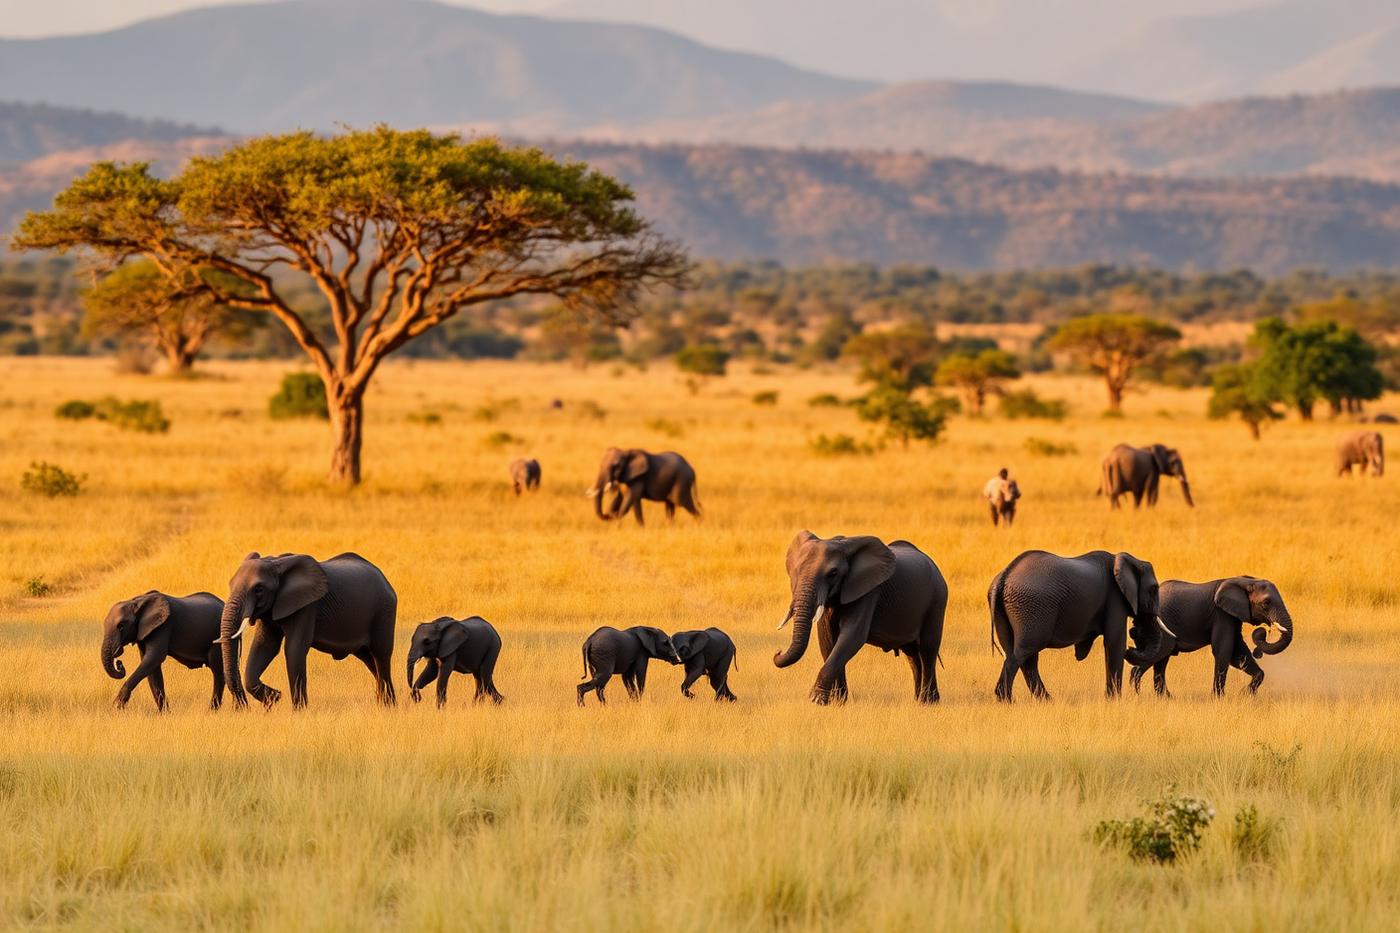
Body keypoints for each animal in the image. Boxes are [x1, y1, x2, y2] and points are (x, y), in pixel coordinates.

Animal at [218, 552, 397, 709]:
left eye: (259, 589)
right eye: (230, 585)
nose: (242, 706)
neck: (275, 562)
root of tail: (384, 578)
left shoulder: (307, 607)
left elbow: (294, 649)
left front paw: (298, 710)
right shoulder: (271, 610)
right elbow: (264, 647)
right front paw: (274, 697)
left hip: (384, 611)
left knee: (380, 655)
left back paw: (388, 707)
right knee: (369, 659)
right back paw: (384, 703)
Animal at [774, 531, 948, 705]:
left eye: (833, 573)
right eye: (795, 571)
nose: (778, 651)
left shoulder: (868, 591)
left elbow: (852, 636)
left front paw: (816, 700)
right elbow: (827, 639)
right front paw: (838, 702)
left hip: (937, 600)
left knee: (927, 649)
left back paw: (927, 702)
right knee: (912, 655)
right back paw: (921, 700)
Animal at [988, 549, 1165, 701]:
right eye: (1154, 589)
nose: (1134, 632)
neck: (1129, 560)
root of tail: (1004, 576)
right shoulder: (1115, 599)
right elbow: (1115, 643)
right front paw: (1114, 700)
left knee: (1019, 654)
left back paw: (1045, 700)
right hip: (1031, 608)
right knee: (1022, 653)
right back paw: (1007, 700)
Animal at [1129, 576, 1293, 697]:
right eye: (1266, 603)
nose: (1263, 631)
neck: (1247, 581)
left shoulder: (1232, 616)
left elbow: (1238, 654)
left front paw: (1245, 694)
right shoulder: (1221, 615)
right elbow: (1224, 651)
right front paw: (1219, 698)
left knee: (1162, 660)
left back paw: (1166, 698)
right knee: (1158, 654)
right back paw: (1136, 695)